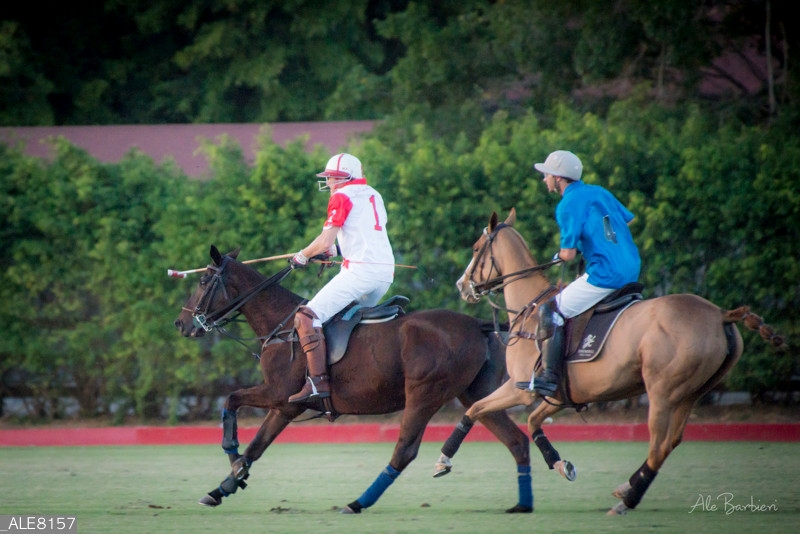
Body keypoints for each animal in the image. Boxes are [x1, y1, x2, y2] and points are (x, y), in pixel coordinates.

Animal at [173, 245, 534, 514]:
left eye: (203, 281)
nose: (181, 324)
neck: (282, 326)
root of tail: (478, 324)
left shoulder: (278, 393)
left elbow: (231, 400)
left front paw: (233, 461)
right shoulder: (286, 406)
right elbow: (258, 444)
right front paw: (224, 486)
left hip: (424, 395)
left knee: (405, 450)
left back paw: (358, 502)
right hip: (474, 394)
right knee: (516, 439)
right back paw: (523, 504)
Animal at [433, 208, 786, 515]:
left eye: (476, 248)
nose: (462, 286)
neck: (530, 309)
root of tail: (720, 315)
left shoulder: (523, 388)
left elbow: (474, 409)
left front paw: (442, 461)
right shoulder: (560, 395)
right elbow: (531, 421)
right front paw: (561, 464)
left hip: (662, 392)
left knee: (658, 446)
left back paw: (627, 501)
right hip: (692, 393)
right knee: (671, 441)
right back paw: (626, 487)